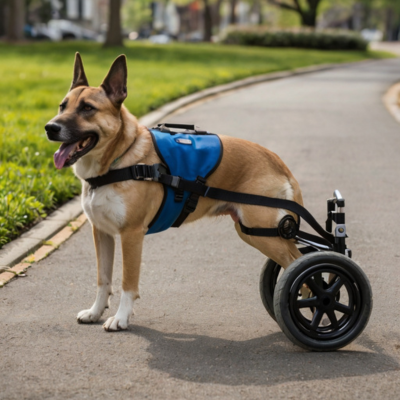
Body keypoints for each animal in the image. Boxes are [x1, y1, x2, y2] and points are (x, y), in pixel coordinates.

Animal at [45, 53, 304, 332]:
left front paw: (121, 317)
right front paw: (95, 312)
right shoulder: (102, 233)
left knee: (303, 265)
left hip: (264, 233)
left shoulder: (131, 235)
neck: (121, 158)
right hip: (253, 232)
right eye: (62, 106)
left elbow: (127, 283)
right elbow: (103, 279)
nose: (50, 128)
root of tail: (276, 159)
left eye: (87, 108)